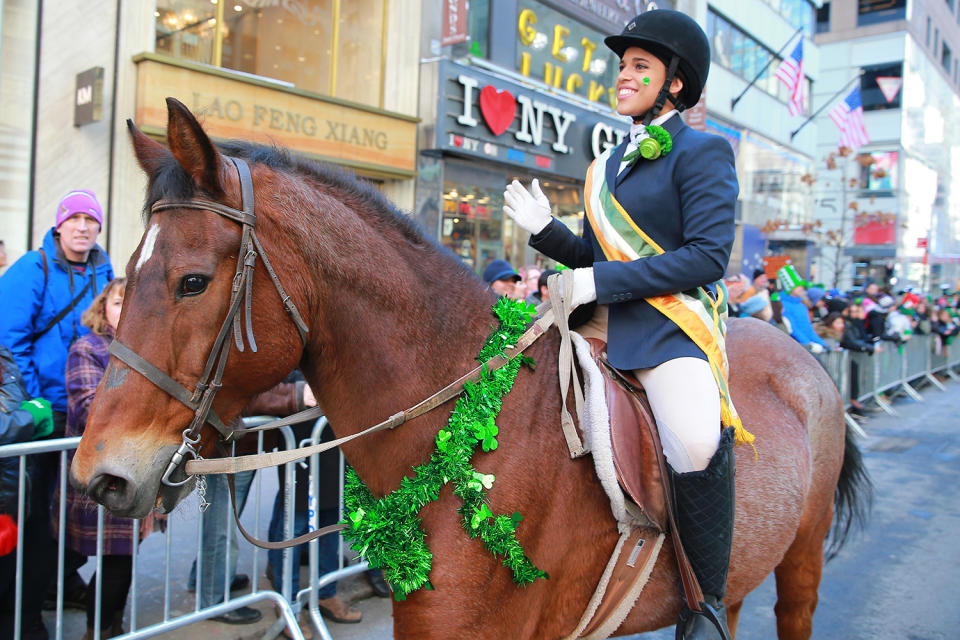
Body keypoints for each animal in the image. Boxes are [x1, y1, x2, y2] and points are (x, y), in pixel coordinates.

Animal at [71, 97, 872, 636]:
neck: (473, 426)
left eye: (192, 282)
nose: (98, 476)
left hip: (800, 562)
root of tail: (802, 357)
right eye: (125, 279)